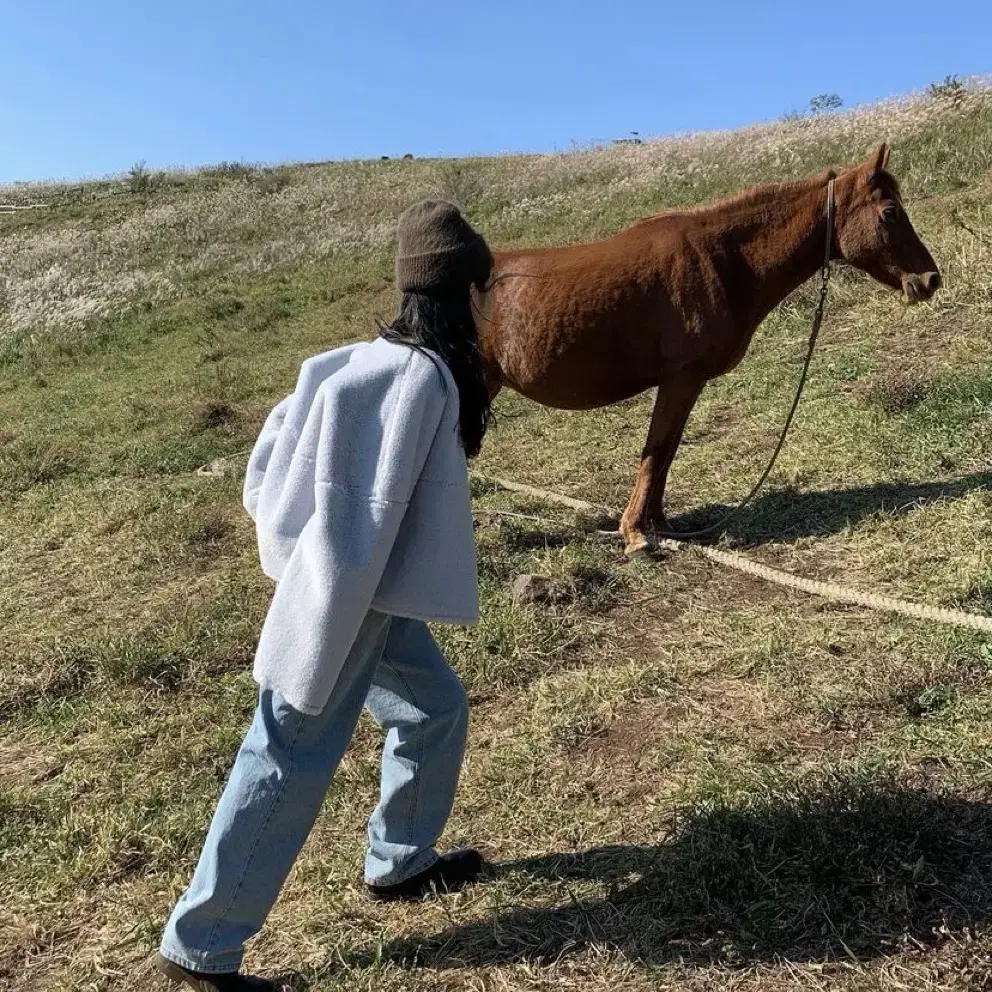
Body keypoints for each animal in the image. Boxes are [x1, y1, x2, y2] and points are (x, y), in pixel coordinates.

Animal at [476, 142, 940, 556]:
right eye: (891, 212)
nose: (930, 279)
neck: (721, 261)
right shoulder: (680, 377)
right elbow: (656, 450)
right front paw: (636, 535)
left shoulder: (689, 382)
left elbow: (667, 451)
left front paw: (660, 525)